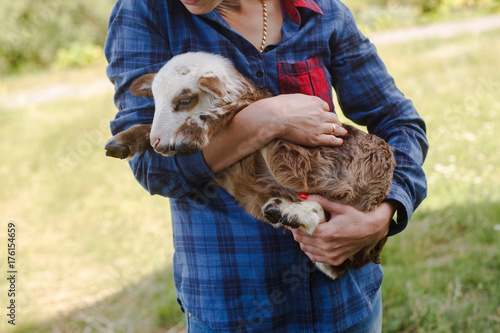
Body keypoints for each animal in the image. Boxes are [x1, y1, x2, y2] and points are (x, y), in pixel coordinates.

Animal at [104, 51, 394, 278]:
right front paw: (122, 143)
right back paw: (280, 209)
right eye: (154, 100)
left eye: (184, 100)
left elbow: (221, 114)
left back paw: (299, 213)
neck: (237, 93)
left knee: (338, 214)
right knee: (335, 265)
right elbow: (143, 128)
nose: (159, 143)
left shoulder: (249, 109)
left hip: (305, 157)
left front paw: (187, 134)